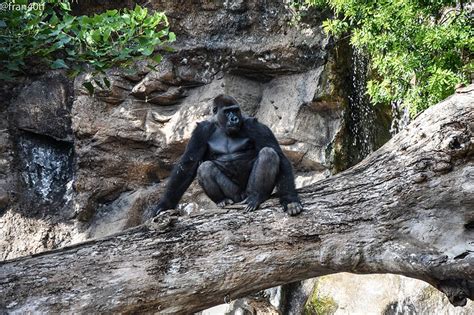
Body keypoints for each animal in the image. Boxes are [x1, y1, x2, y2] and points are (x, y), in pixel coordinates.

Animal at [154, 95, 306, 216]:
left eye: (235, 110)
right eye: (227, 112)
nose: (234, 119)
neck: (221, 126)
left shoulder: (254, 125)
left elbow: (279, 155)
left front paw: (290, 199)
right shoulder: (201, 131)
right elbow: (188, 164)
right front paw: (164, 204)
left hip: (247, 193)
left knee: (268, 153)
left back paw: (257, 196)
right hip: (235, 195)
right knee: (205, 167)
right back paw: (222, 200)